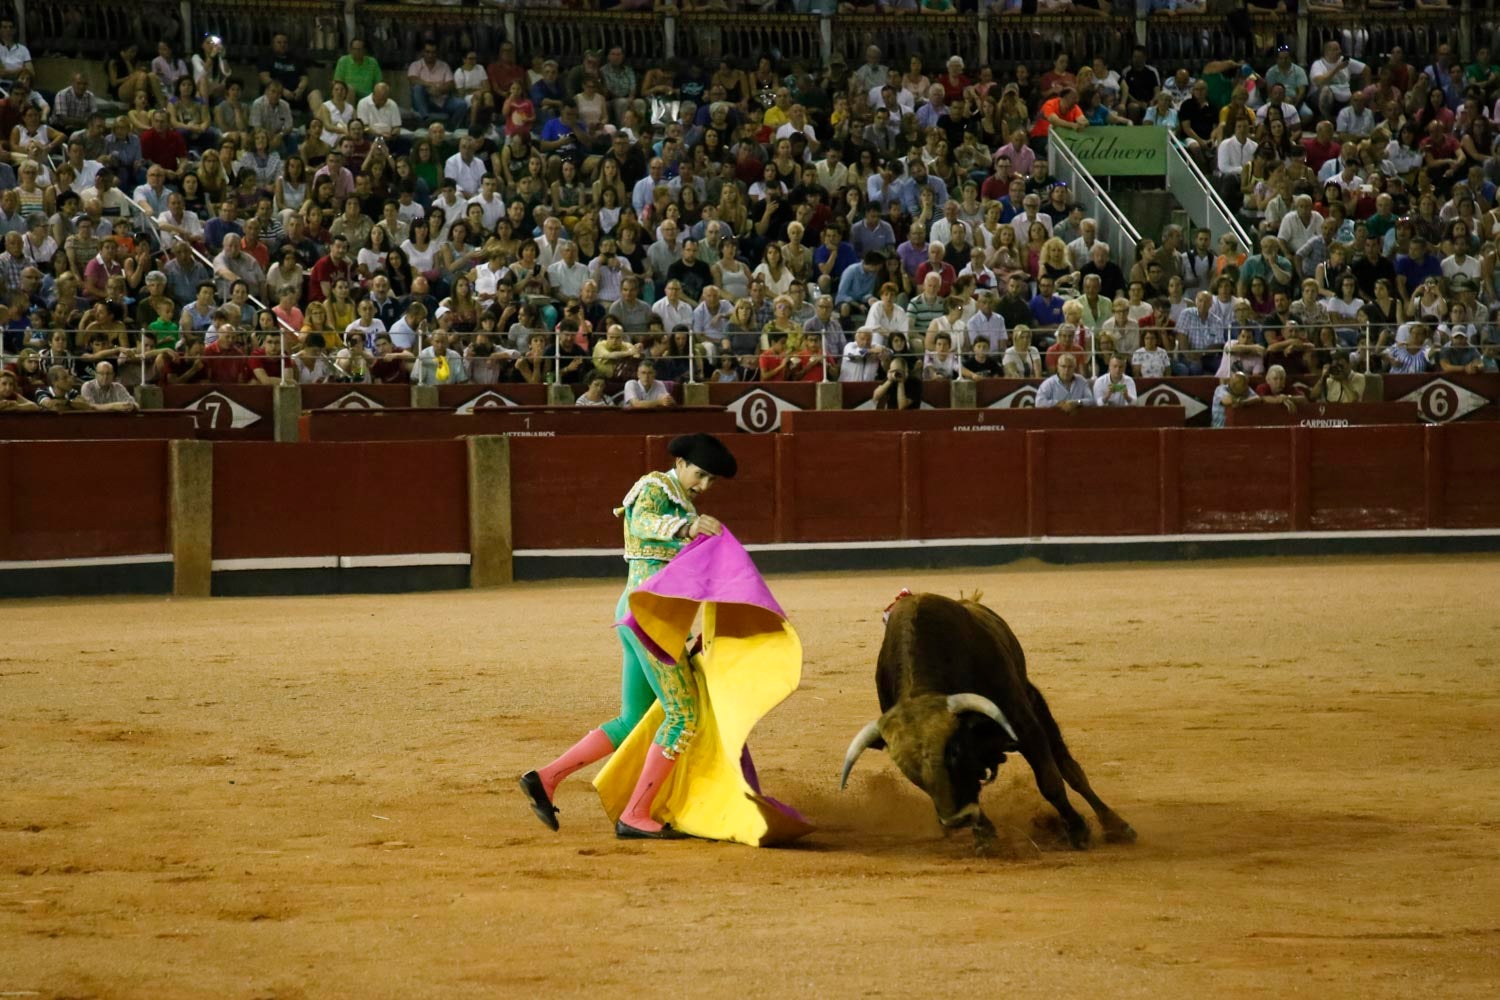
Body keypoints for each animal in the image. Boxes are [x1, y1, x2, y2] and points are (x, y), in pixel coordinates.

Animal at [840, 593, 1128, 851]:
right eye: (907, 770)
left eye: (954, 751)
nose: (956, 821)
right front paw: (984, 835)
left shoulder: (1024, 725)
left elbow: (1050, 782)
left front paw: (1078, 831)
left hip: (1036, 703)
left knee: (1069, 768)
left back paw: (1116, 826)